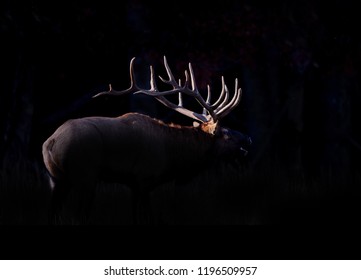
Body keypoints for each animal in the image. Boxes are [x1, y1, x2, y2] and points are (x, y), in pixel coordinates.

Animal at [41, 55, 250, 224]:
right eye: (226, 133)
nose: (248, 139)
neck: (173, 157)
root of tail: (51, 143)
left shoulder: (133, 184)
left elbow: (134, 216)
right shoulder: (145, 177)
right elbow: (148, 215)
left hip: (57, 179)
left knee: (53, 212)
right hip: (85, 174)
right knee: (79, 214)